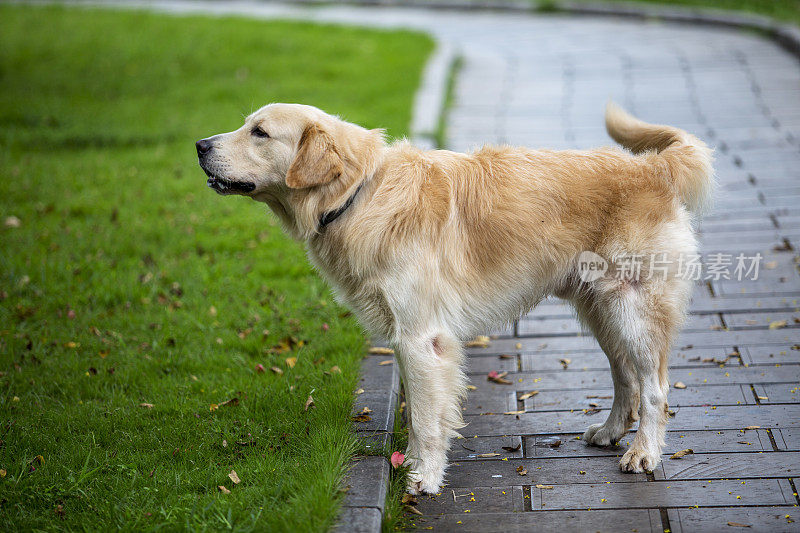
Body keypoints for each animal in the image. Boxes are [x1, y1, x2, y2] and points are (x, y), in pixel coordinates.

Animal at [197, 102, 716, 492]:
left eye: (260, 132)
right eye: (247, 125)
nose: (200, 145)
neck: (358, 194)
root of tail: (651, 167)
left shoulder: (422, 339)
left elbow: (428, 419)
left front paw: (424, 478)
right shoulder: (406, 341)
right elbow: (422, 414)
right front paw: (413, 464)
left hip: (633, 312)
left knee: (655, 388)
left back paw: (644, 453)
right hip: (602, 313)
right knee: (625, 379)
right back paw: (610, 433)